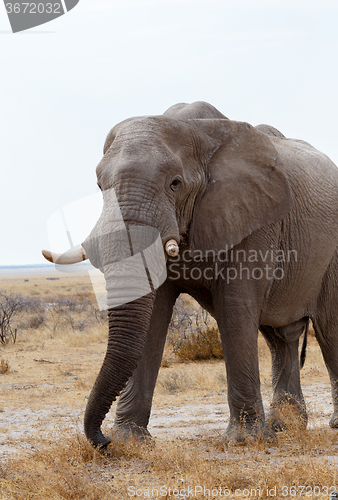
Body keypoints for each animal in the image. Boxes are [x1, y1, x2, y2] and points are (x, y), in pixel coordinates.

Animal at [42, 100, 338, 450]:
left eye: (175, 183)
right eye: (100, 186)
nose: (103, 442)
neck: (196, 130)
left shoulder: (254, 218)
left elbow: (235, 307)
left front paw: (244, 441)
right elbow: (153, 316)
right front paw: (131, 441)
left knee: (330, 330)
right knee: (281, 338)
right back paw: (284, 427)